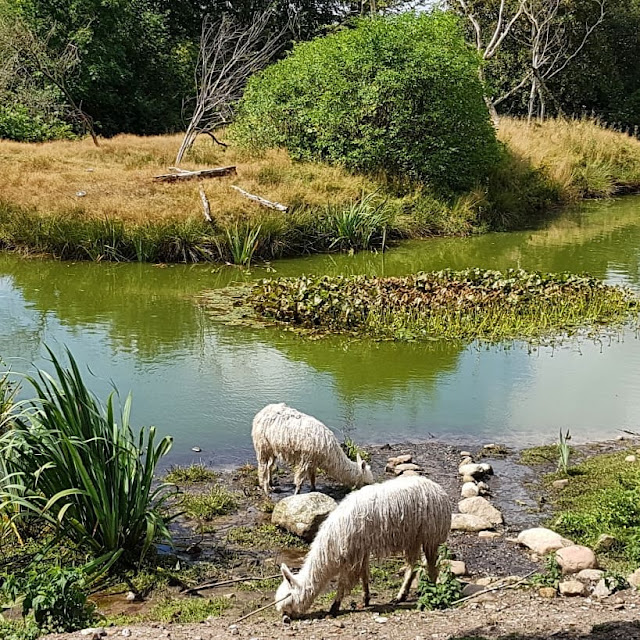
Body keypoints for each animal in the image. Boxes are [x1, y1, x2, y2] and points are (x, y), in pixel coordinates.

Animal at [276, 476, 450, 616]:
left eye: (288, 600)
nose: (286, 618)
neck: (331, 544)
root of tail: (439, 490)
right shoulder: (361, 549)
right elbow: (364, 574)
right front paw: (366, 599)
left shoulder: (353, 552)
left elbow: (344, 581)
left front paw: (334, 607)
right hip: (412, 537)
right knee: (412, 565)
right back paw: (401, 596)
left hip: (430, 534)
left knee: (432, 566)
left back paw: (431, 593)